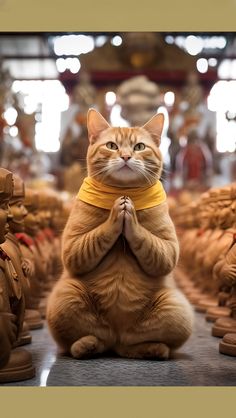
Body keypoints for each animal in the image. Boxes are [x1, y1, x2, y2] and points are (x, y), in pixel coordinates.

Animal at [46, 108, 194, 360]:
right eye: (112, 146)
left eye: (139, 147)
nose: (125, 156)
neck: (124, 190)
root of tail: (117, 335)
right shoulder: (73, 248)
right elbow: (98, 235)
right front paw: (118, 212)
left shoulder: (168, 250)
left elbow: (147, 241)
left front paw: (129, 215)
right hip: (66, 295)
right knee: (74, 345)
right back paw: (86, 345)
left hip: (176, 307)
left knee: (131, 348)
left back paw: (154, 349)